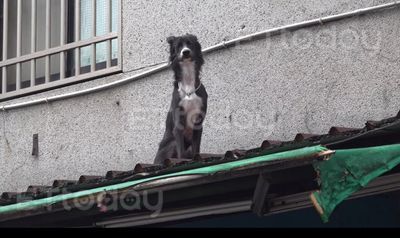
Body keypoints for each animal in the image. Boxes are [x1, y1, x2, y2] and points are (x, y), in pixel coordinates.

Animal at [154, 34, 208, 165]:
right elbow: (181, 153)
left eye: (190, 44)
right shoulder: (178, 123)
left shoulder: (198, 123)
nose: (186, 52)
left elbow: (196, 150)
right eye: (178, 46)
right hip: (171, 142)